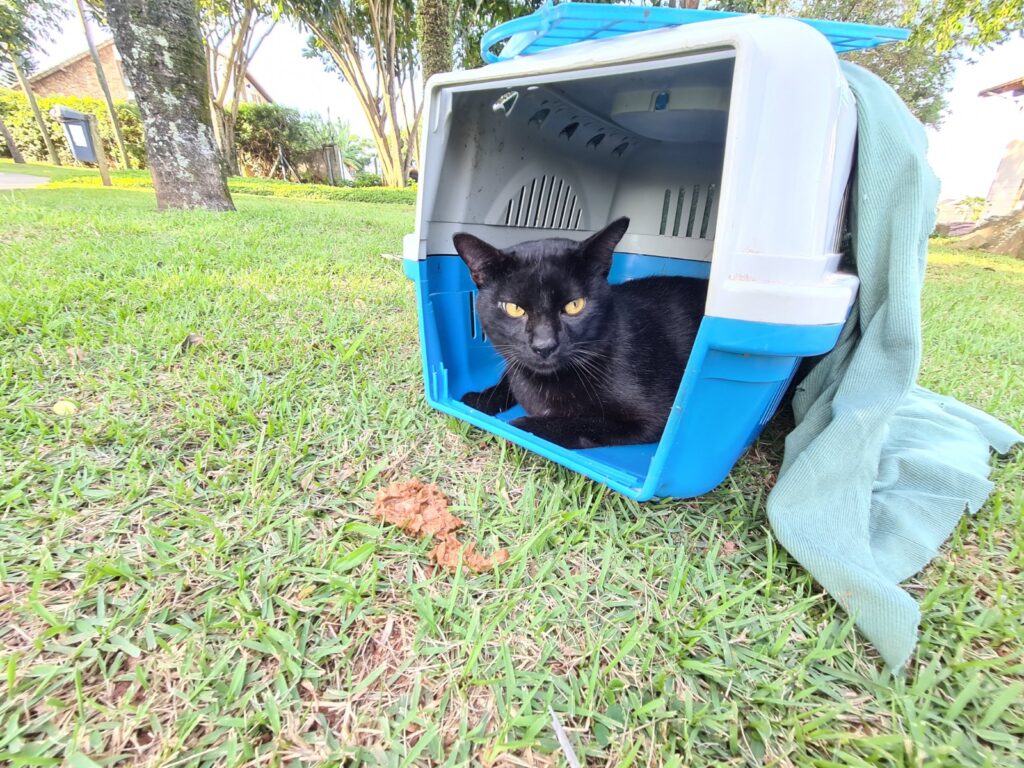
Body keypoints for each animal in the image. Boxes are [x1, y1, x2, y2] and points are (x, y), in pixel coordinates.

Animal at [452, 217, 707, 449]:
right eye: (514, 308)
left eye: (574, 305)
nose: (544, 345)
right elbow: (509, 377)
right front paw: (479, 398)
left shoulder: (653, 418)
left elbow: (584, 422)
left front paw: (522, 426)